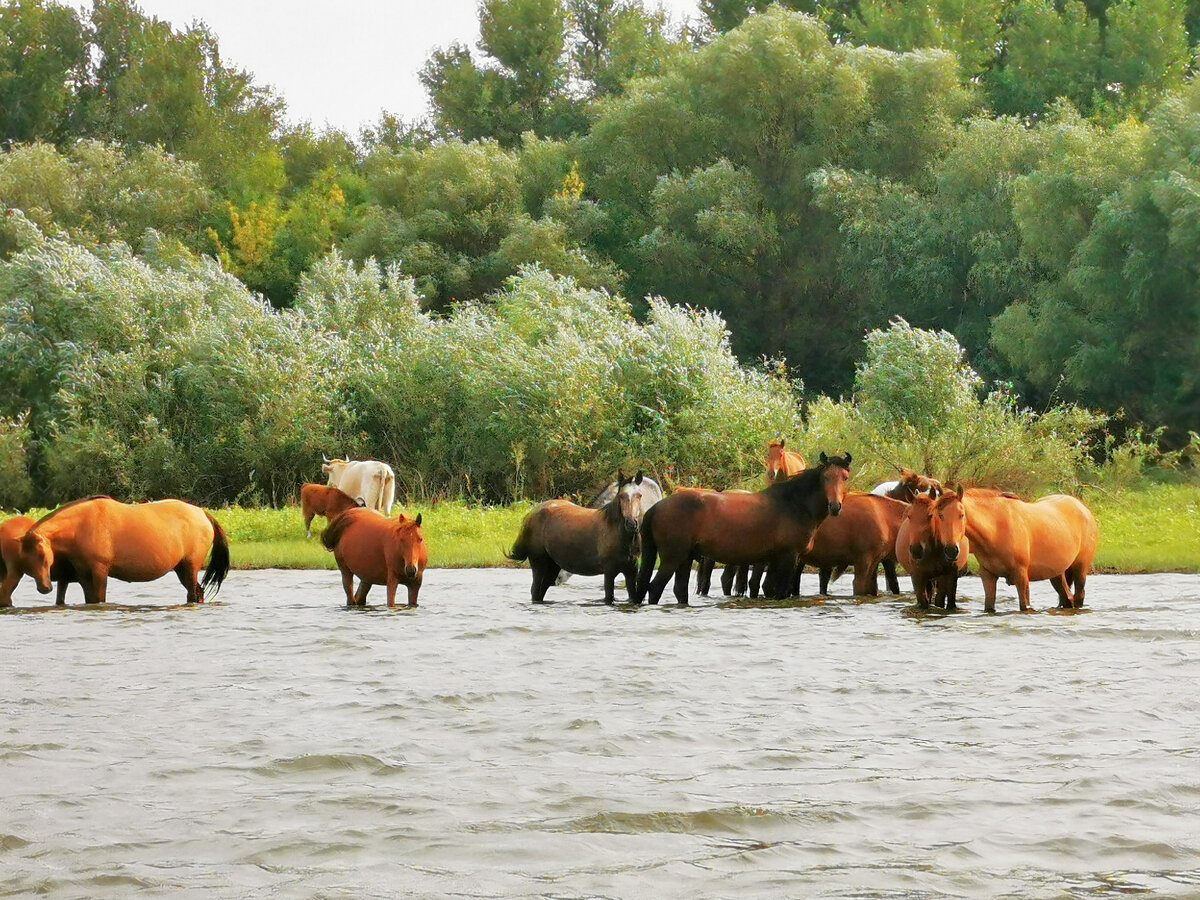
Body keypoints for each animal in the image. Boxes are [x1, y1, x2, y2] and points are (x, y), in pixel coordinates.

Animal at [12, 501, 229, 607]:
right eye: (24, 559)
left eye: (43, 556)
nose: (45, 588)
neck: (81, 525)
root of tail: (202, 513)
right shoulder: (84, 574)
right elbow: (90, 599)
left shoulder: (100, 570)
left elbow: (99, 599)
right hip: (181, 569)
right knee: (197, 592)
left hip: (190, 567)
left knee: (193, 593)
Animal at [504, 472, 643, 607]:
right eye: (621, 496)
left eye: (639, 495)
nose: (631, 523)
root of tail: (531, 514)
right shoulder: (609, 572)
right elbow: (609, 598)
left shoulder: (631, 572)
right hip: (538, 562)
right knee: (535, 590)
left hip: (552, 566)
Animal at [638, 451, 854, 607]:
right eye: (826, 477)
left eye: (845, 477)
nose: (835, 506)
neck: (793, 505)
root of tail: (656, 507)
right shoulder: (788, 557)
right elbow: (780, 592)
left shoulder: (774, 559)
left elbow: (768, 589)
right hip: (672, 558)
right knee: (655, 588)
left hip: (685, 558)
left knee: (679, 590)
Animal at [955, 489, 1099, 619]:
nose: (961, 569)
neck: (995, 528)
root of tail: (1084, 509)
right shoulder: (988, 574)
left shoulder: (1022, 575)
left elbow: (1025, 605)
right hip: (1057, 573)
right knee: (1067, 598)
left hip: (1080, 568)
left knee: (1079, 595)